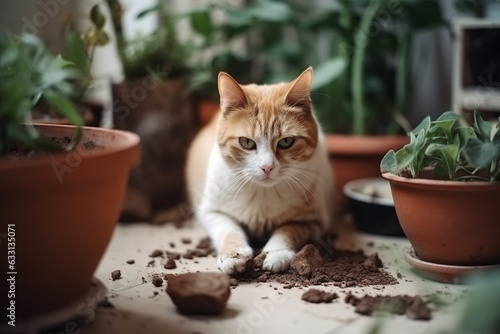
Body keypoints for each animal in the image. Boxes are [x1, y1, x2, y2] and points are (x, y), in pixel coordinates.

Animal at [186, 67, 334, 274]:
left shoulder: (312, 221)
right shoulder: (211, 212)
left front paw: (276, 254)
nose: (267, 167)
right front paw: (233, 255)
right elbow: (229, 230)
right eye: (246, 142)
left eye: (286, 141)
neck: (262, 194)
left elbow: (287, 231)